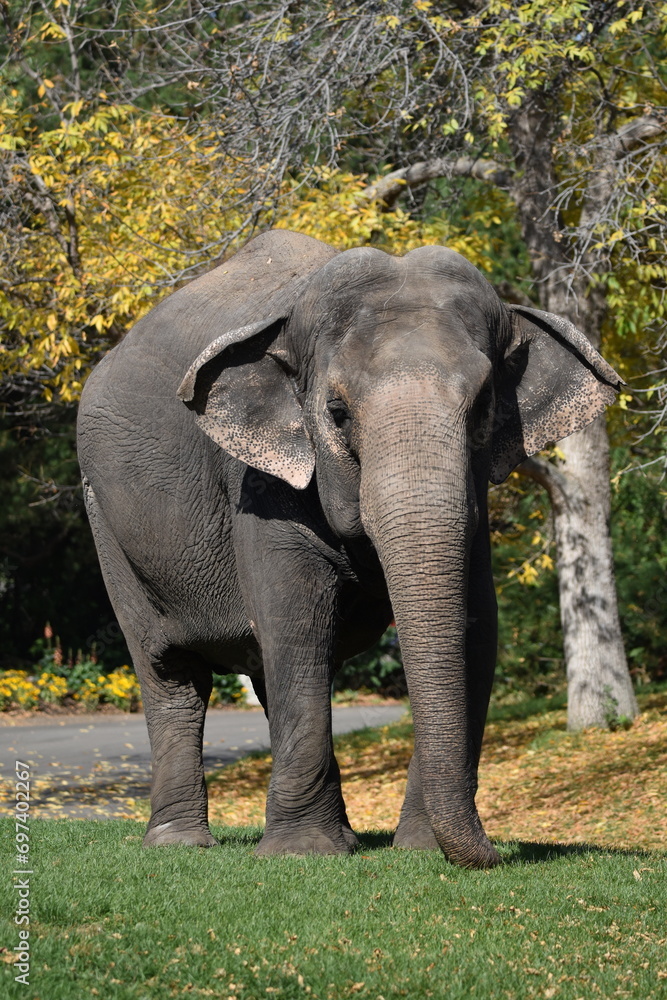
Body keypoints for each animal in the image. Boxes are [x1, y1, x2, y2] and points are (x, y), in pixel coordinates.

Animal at [77, 228, 621, 868]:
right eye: (335, 413)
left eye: (485, 407)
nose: (495, 851)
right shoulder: (259, 487)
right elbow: (297, 623)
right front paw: (301, 855)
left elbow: (477, 628)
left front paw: (416, 848)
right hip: (105, 521)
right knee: (171, 674)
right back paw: (180, 844)